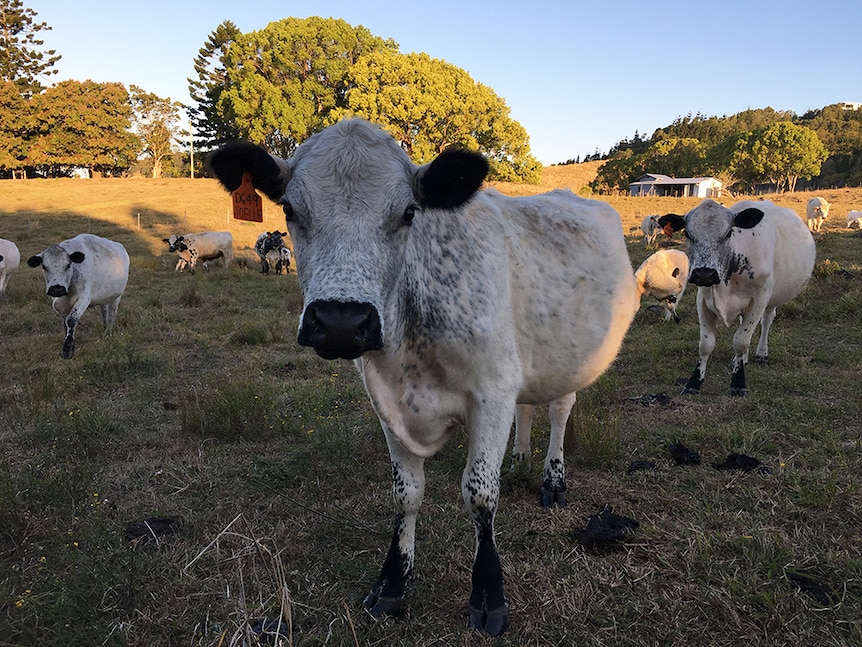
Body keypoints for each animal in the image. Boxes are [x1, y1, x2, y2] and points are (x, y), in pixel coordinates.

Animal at [210, 119, 640, 636]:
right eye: (290, 209)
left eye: (409, 212)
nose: (340, 321)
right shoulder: (388, 403)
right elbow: (407, 494)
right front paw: (393, 580)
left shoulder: (491, 392)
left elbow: (480, 493)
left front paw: (488, 592)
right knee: (528, 407)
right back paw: (519, 456)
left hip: (568, 360)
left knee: (559, 410)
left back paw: (552, 477)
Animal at [680, 200, 816, 398]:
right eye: (687, 233)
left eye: (728, 233)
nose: (704, 274)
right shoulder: (703, 300)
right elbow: (706, 344)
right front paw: (694, 383)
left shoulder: (759, 300)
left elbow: (741, 341)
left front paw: (738, 384)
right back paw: (740, 360)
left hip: (770, 300)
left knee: (766, 322)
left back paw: (761, 354)